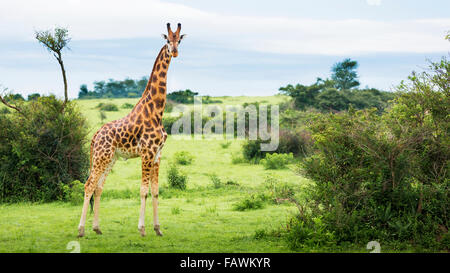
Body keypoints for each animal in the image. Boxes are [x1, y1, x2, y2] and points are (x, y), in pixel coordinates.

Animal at [77, 22, 185, 236]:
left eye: (179, 40)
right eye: (168, 40)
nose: (175, 51)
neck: (157, 111)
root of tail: (95, 136)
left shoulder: (158, 154)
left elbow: (155, 190)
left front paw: (158, 229)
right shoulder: (147, 152)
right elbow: (143, 191)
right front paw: (142, 229)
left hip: (110, 158)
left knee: (99, 187)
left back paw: (97, 228)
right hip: (101, 157)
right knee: (88, 185)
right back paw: (81, 229)